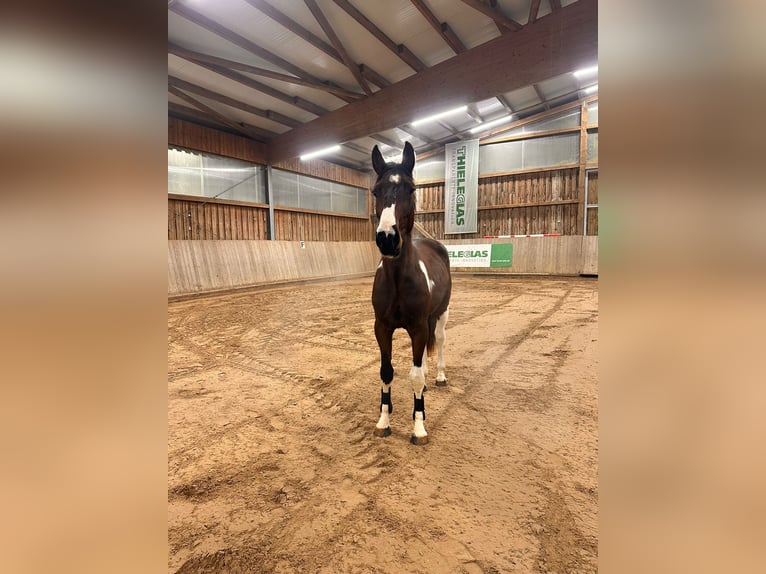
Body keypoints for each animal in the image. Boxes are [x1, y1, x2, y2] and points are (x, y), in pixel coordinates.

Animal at [370, 141, 452, 445]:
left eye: (411, 189)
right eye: (376, 190)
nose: (387, 238)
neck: (397, 281)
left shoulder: (417, 328)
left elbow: (414, 376)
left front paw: (419, 427)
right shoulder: (382, 328)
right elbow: (386, 372)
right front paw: (383, 420)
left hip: (441, 314)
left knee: (439, 340)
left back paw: (438, 377)